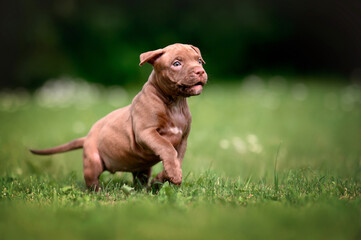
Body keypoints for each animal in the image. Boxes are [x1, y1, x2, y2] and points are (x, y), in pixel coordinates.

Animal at [30, 42, 207, 189]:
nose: (200, 71)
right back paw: (100, 193)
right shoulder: (146, 132)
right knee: (92, 182)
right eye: (176, 63)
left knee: (140, 178)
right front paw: (173, 175)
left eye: (199, 60)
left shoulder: (182, 140)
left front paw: (163, 178)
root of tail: (86, 137)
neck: (174, 103)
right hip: (93, 160)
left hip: (141, 166)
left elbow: (177, 159)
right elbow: (167, 148)